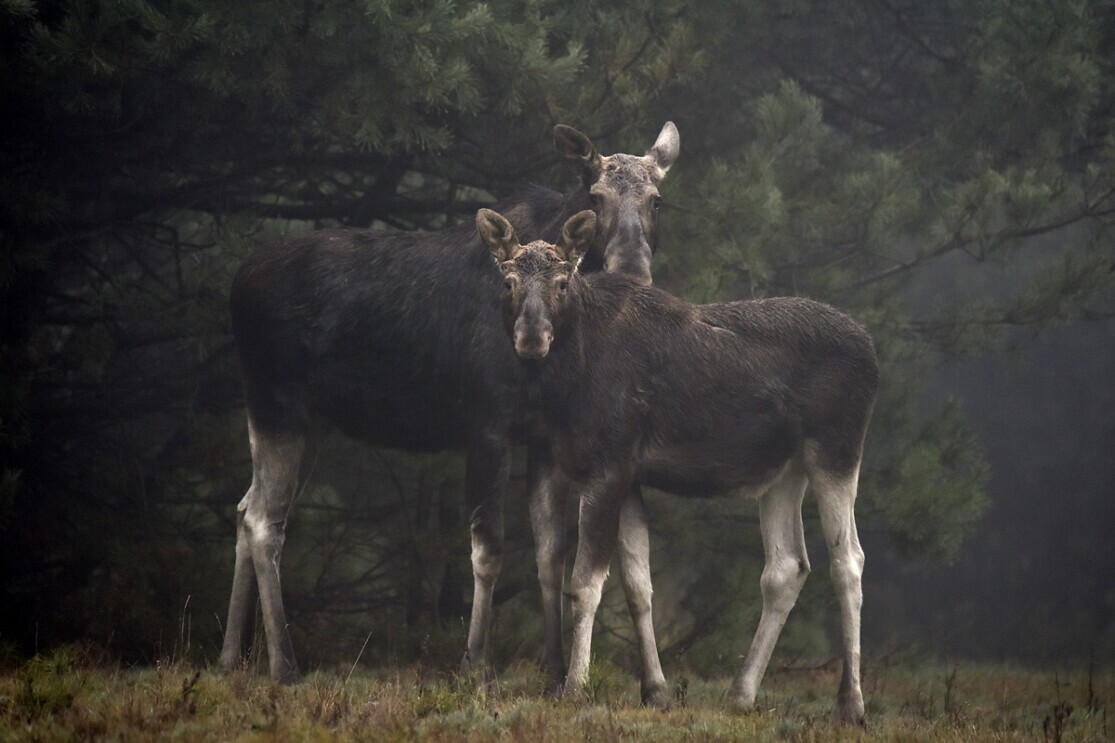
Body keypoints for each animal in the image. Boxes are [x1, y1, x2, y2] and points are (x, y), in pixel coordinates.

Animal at [219, 123, 680, 687]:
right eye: (596, 196)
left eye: (657, 200)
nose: (633, 270)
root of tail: (236, 285)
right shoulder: (487, 424)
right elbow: (488, 550)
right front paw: (474, 664)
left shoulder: (542, 437)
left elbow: (550, 552)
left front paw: (552, 670)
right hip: (276, 402)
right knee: (265, 521)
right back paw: (284, 665)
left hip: (304, 420)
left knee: (246, 507)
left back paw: (230, 657)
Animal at [475, 208, 879, 725]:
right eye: (508, 283)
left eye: (562, 282)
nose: (531, 337)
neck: (565, 383)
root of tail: (873, 354)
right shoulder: (606, 470)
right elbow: (630, 583)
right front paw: (652, 690)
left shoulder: (608, 464)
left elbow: (585, 582)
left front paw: (575, 687)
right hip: (783, 470)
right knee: (787, 565)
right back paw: (741, 693)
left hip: (836, 448)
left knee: (848, 560)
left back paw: (851, 704)